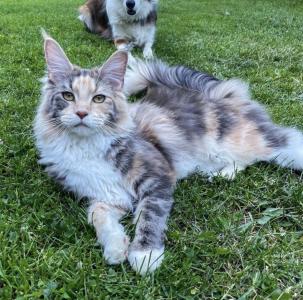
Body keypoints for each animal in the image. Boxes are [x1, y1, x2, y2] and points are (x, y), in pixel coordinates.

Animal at [34, 34, 303, 276]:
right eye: (68, 96)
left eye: (99, 98)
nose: (81, 113)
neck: (85, 147)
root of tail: (215, 92)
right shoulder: (107, 196)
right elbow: (98, 217)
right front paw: (115, 248)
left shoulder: (157, 176)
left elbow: (149, 216)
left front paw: (145, 255)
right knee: (242, 163)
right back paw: (221, 175)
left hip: (243, 141)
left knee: (284, 141)